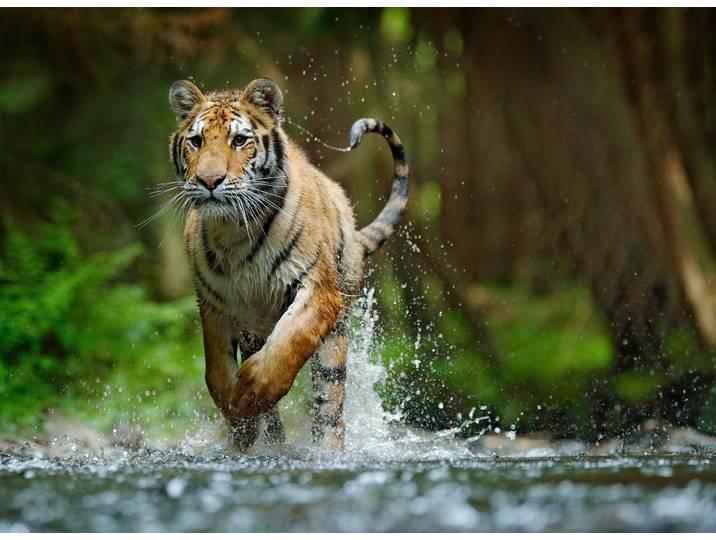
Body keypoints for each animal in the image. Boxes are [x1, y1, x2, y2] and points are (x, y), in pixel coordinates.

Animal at [166, 78, 409, 450]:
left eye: (239, 140)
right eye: (196, 141)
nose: (209, 181)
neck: (234, 232)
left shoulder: (318, 289)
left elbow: (287, 347)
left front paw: (249, 392)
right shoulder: (214, 303)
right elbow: (216, 373)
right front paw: (240, 421)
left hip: (336, 335)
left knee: (330, 406)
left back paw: (325, 449)